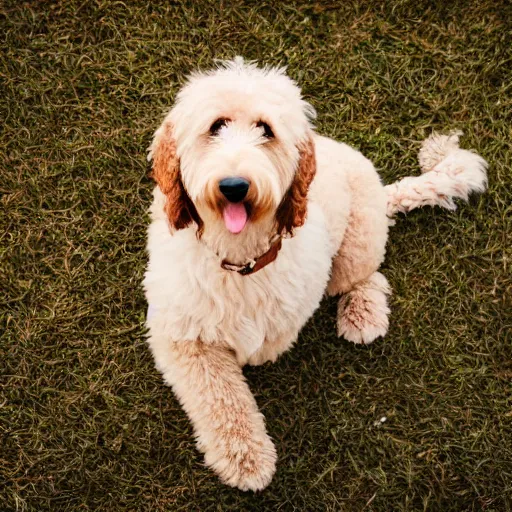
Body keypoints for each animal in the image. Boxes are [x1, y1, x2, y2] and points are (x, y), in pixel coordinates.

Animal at [144, 58, 488, 490]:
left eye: (265, 130)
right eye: (216, 126)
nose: (235, 185)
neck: (240, 261)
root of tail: (380, 185)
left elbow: (261, 350)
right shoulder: (182, 335)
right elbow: (221, 398)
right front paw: (245, 459)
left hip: (354, 248)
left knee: (369, 277)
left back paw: (363, 315)